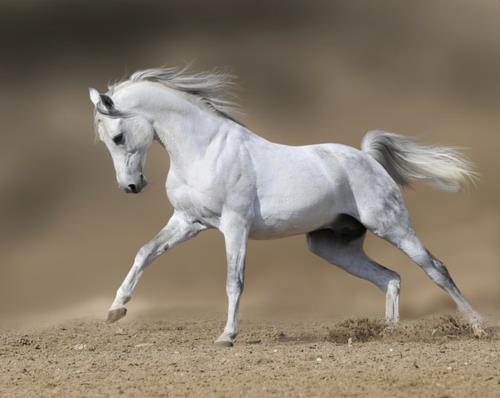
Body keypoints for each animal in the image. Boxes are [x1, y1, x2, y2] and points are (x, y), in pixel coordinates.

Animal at [88, 66, 482, 346]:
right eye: (104, 141)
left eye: (118, 137)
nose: (131, 186)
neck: (205, 150)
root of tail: (368, 158)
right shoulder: (188, 221)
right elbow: (145, 253)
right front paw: (115, 310)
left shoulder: (234, 226)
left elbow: (234, 281)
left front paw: (227, 336)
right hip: (331, 246)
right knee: (390, 278)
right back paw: (389, 333)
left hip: (393, 226)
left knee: (436, 269)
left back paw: (477, 326)